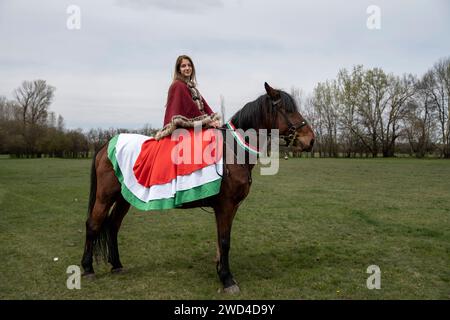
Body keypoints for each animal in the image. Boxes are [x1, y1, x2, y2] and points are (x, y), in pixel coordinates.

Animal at [81, 82, 314, 292]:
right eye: (288, 110)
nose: (311, 140)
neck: (233, 151)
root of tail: (105, 145)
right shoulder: (225, 206)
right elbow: (225, 240)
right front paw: (227, 279)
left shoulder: (230, 207)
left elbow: (221, 241)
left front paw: (221, 271)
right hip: (105, 196)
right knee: (93, 224)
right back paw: (88, 268)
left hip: (124, 197)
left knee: (113, 225)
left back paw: (117, 265)